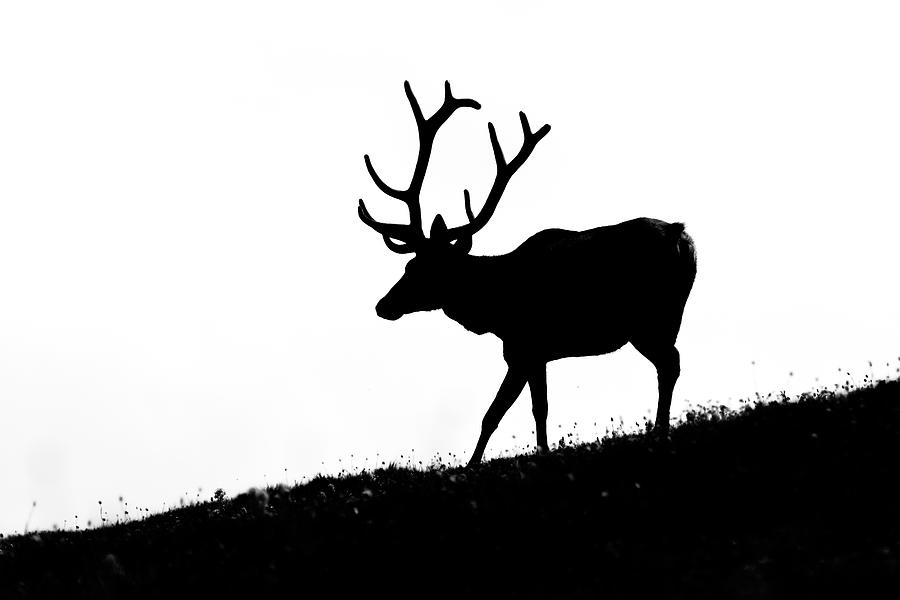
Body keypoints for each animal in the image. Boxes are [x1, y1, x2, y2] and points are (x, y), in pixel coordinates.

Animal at [358, 81, 697, 467]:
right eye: (407, 265)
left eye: (420, 269)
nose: (383, 305)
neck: (495, 310)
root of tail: (681, 235)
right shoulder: (536, 355)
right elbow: (537, 408)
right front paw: (540, 452)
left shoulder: (524, 346)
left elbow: (495, 413)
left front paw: (473, 464)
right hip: (664, 318)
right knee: (670, 363)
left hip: (648, 319)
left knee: (669, 363)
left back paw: (661, 432)